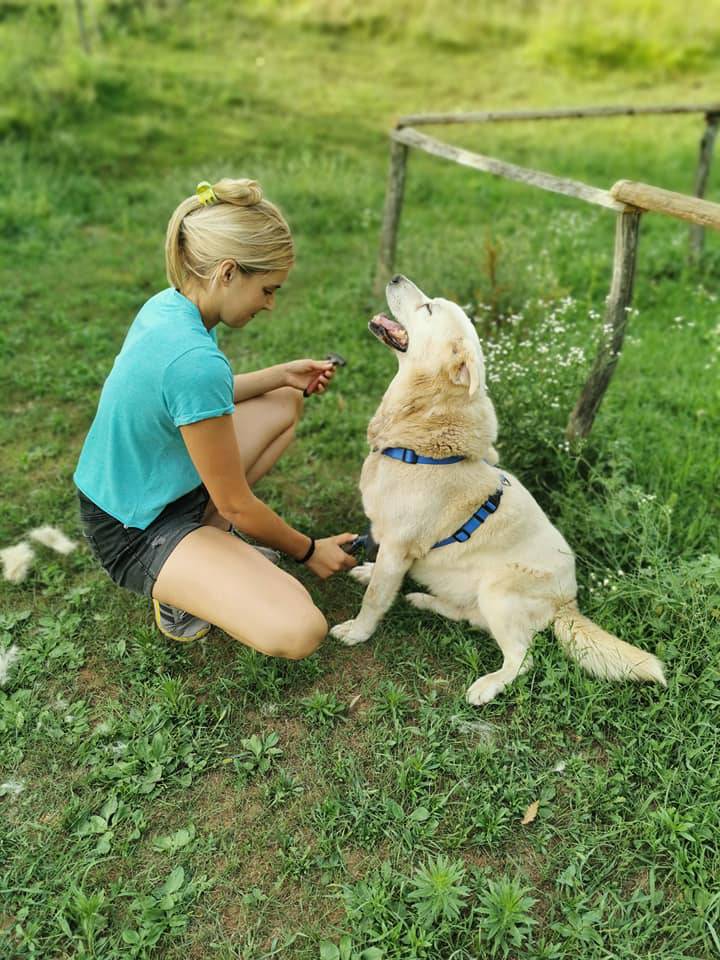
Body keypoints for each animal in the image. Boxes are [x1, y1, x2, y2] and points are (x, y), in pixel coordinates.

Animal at [330, 274, 664, 700]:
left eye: (428, 308)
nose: (395, 277)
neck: (424, 441)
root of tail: (568, 603)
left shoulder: (397, 547)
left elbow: (374, 599)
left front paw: (357, 632)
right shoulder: (388, 544)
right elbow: (378, 579)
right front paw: (366, 572)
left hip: (498, 590)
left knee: (523, 658)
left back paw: (486, 686)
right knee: (471, 619)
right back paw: (425, 599)